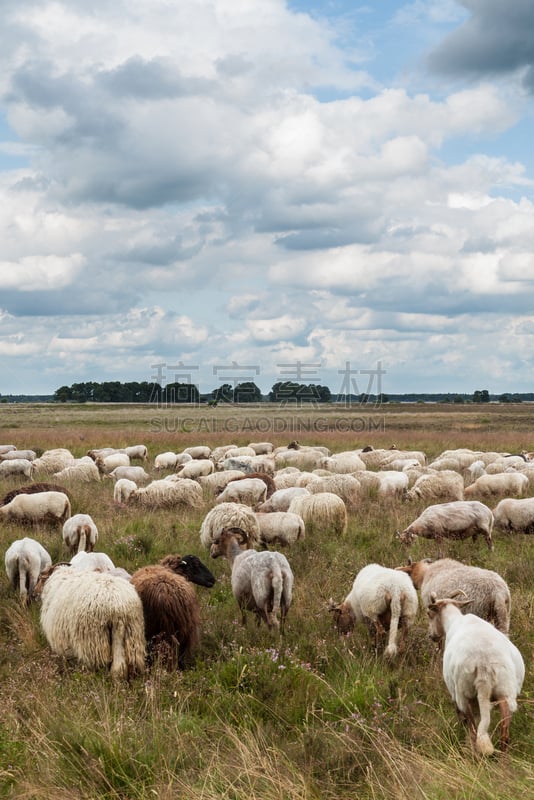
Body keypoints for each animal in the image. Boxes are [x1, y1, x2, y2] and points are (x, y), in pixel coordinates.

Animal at [428, 592, 528, 756]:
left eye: (429, 614)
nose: (432, 636)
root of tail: (484, 663)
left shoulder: (455, 694)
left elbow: (464, 720)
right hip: (505, 691)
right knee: (504, 734)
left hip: (465, 693)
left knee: (473, 730)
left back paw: (475, 756)